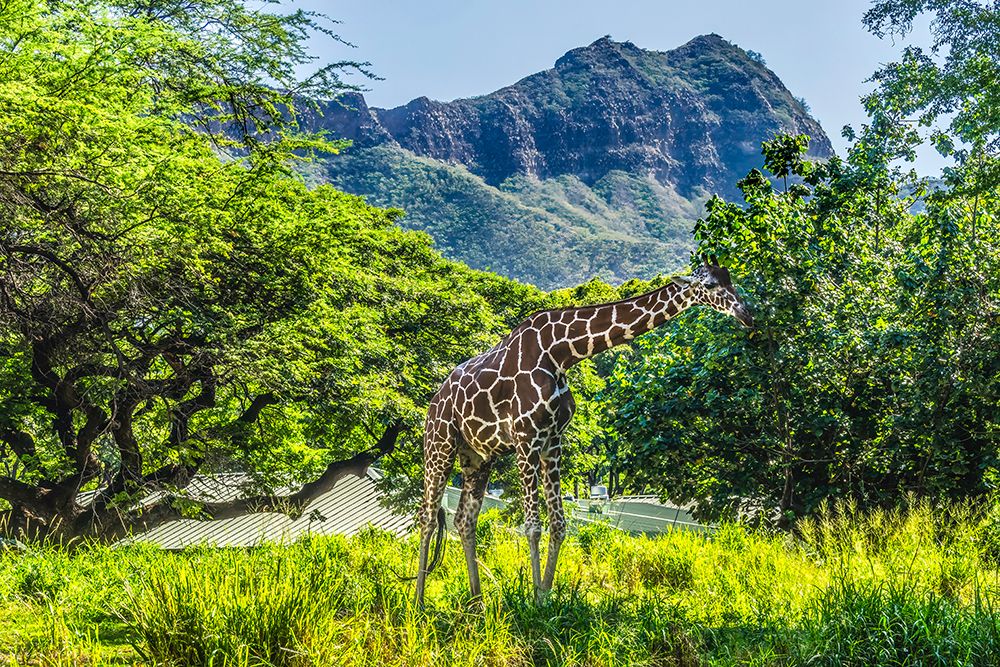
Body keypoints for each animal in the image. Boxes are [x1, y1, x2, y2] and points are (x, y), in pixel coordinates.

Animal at [415, 257, 753, 605]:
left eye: (731, 279)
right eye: (710, 285)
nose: (747, 315)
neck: (561, 353)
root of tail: (434, 401)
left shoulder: (552, 441)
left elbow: (559, 524)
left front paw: (545, 596)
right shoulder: (526, 438)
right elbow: (533, 526)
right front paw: (534, 601)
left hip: (478, 457)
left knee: (464, 520)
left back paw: (478, 603)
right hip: (439, 444)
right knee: (427, 516)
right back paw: (420, 602)